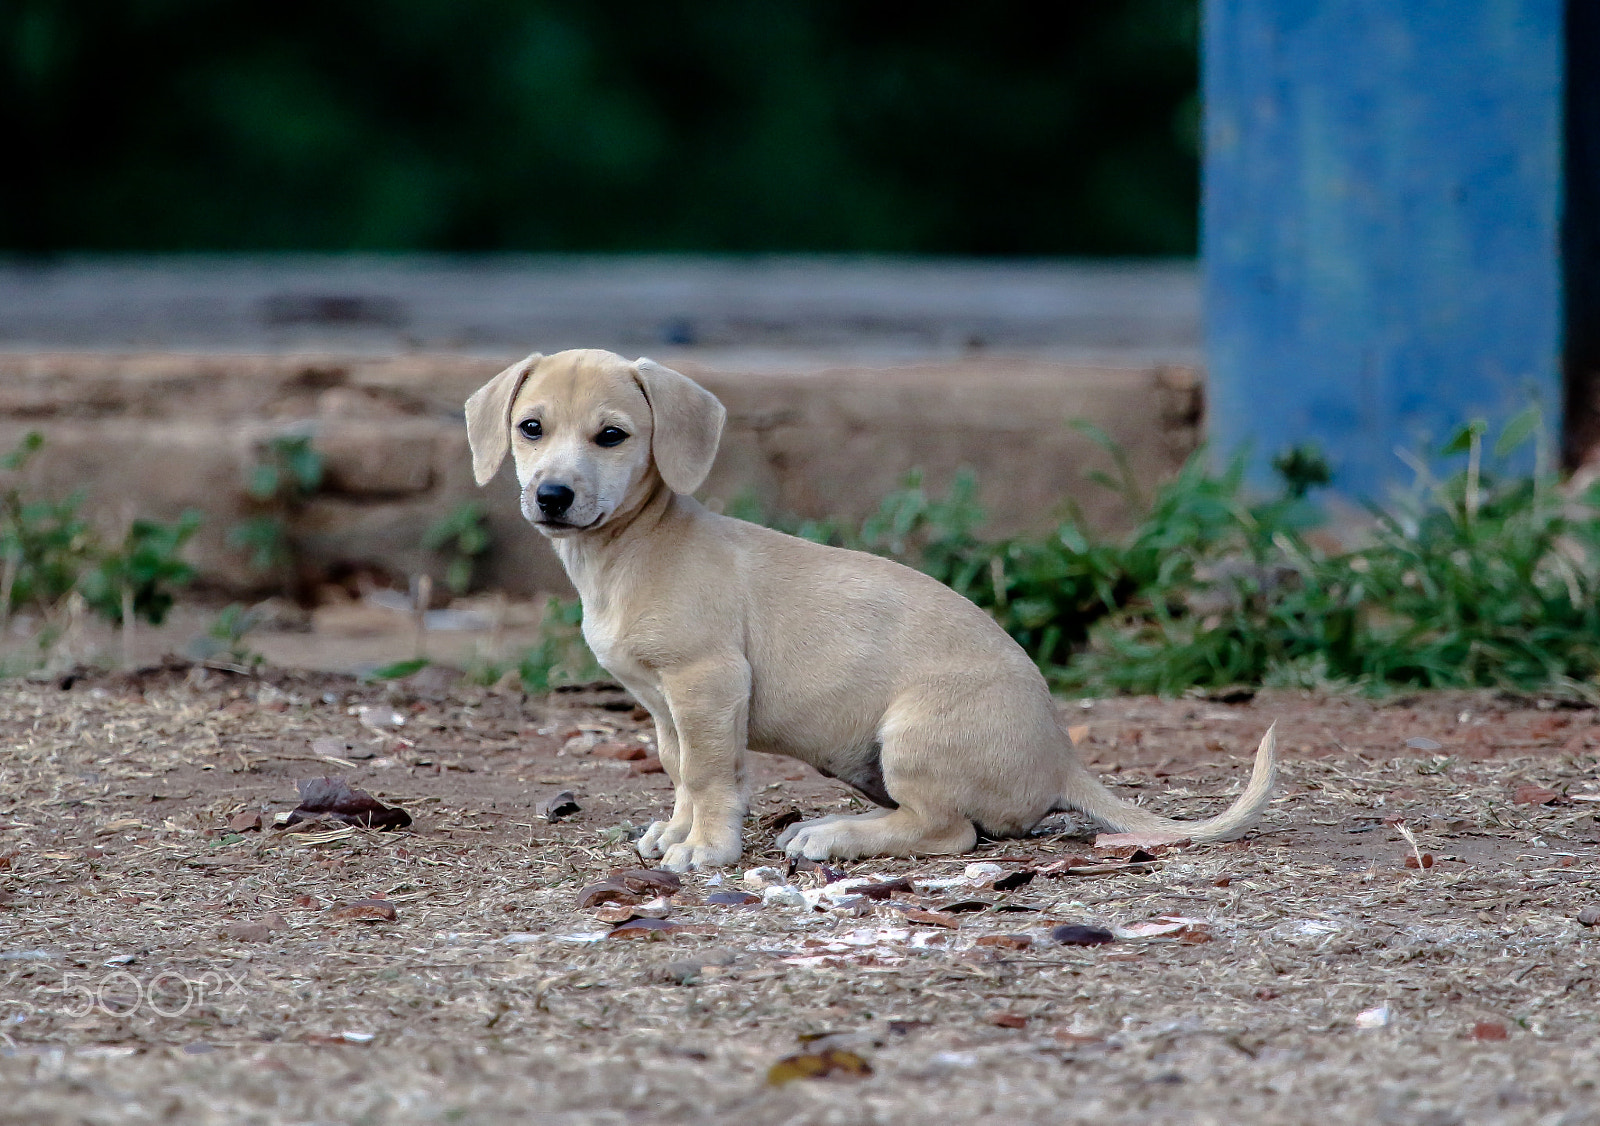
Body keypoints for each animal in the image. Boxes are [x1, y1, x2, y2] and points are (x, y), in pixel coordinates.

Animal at [467, 350, 1273, 870]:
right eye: (530, 427)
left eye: (612, 436)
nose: (551, 496)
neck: (632, 548)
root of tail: (1062, 757)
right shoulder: (666, 706)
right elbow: (682, 770)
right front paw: (676, 832)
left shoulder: (708, 684)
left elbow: (710, 774)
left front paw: (706, 848)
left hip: (911, 735)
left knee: (948, 833)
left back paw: (834, 836)